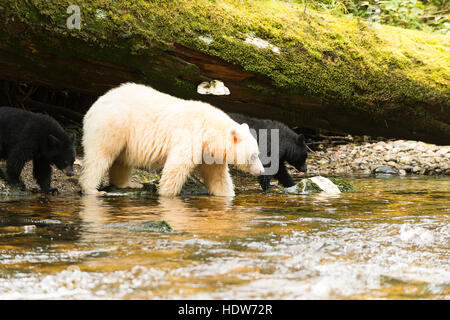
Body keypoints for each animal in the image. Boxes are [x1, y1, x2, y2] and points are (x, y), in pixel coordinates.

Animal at [79, 82, 266, 198]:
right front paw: (166, 195)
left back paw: (128, 184)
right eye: (254, 155)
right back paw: (92, 190)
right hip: (113, 125)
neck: (209, 129)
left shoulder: (210, 152)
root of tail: (95, 105)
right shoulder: (190, 136)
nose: (261, 171)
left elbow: (218, 177)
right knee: (100, 156)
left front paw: (227, 195)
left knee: (122, 160)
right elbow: (176, 168)